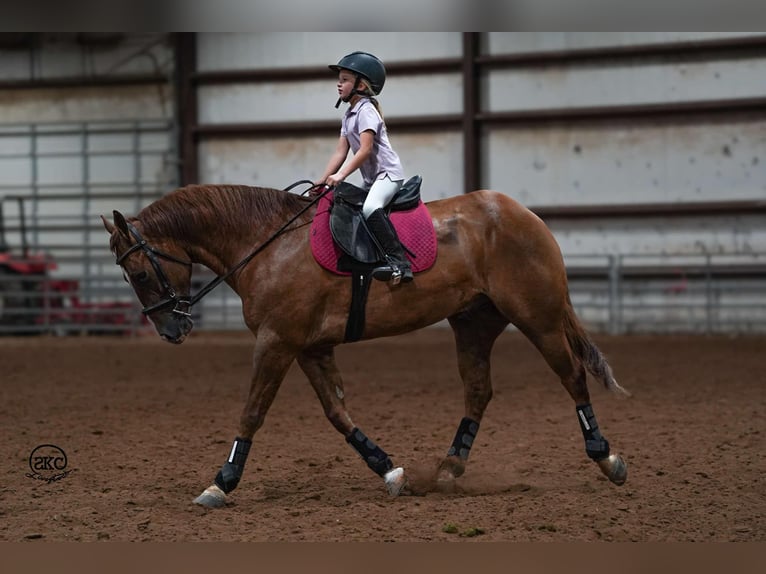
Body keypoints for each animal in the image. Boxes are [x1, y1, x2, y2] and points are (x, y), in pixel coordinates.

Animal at [103, 183, 632, 508]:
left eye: (140, 274)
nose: (171, 331)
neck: (268, 244)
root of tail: (524, 214)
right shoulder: (309, 347)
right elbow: (338, 413)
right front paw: (390, 471)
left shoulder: (277, 341)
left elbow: (252, 411)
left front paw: (221, 483)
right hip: (474, 324)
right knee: (479, 391)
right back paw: (449, 468)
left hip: (537, 318)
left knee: (571, 375)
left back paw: (606, 458)